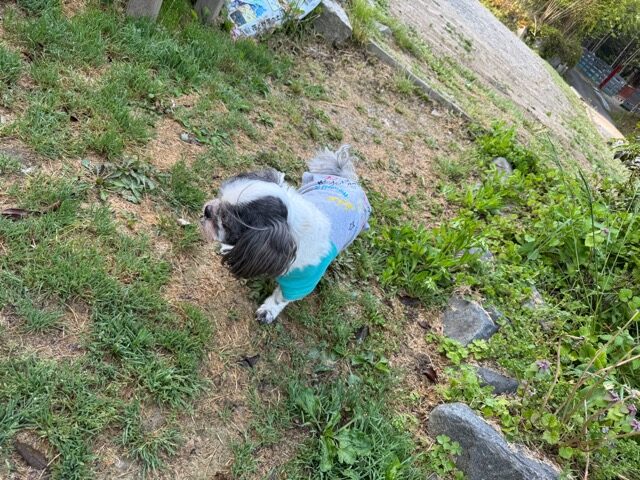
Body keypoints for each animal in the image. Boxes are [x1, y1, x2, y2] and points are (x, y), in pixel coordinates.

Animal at [201, 145, 371, 324]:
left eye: (226, 222)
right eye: (220, 198)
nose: (207, 210)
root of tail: (347, 179)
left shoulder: (301, 283)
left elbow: (280, 298)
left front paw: (268, 311)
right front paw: (229, 248)